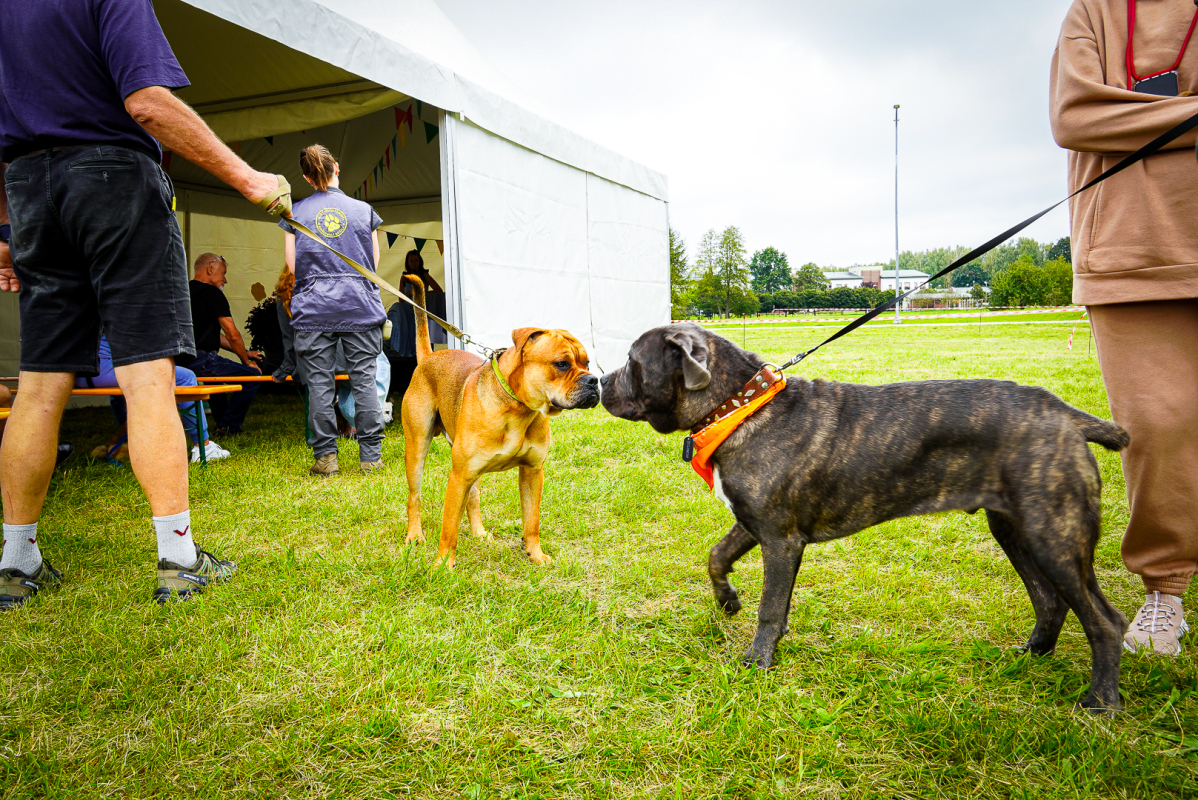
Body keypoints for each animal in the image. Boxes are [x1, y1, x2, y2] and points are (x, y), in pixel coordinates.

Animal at [400, 277, 599, 565]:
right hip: (418, 449)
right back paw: (415, 535)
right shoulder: (458, 476)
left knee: (472, 499)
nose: (594, 380)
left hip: (471, 472)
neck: (518, 408)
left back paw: (479, 533)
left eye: (587, 363)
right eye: (561, 364)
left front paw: (536, 555)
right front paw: (442, 566)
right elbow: (449, 528)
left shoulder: (532, 472)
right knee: (414, 496)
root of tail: (428, 357)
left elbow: (531, 522)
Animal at [599, 320, 1130, 708]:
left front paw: (758, 661)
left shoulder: (780, 538)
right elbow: (716, 555)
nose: (599, 381)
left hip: (1054, 536)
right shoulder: (752, 523)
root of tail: (1063, 413)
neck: (738, 407)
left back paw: (1100, 703)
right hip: (1015, 530)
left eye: (631, 362)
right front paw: (728, 601)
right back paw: (1031, 656)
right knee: (1050, 601)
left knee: (1105, 621)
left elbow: (771, 608)